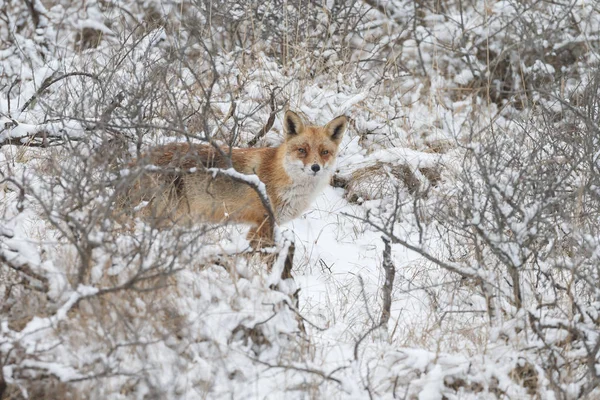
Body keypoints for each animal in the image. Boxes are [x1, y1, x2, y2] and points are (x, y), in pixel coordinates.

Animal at [123, 110, 346, 247]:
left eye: (324, 152)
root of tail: (137, 159)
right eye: (302, 150)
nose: (315, 168)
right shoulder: (263, 223)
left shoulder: (259, 226)